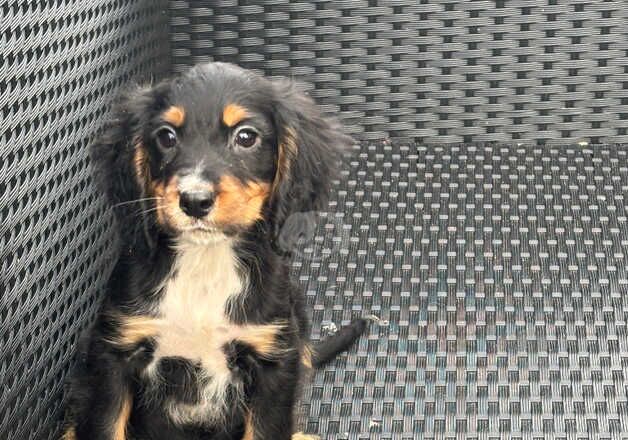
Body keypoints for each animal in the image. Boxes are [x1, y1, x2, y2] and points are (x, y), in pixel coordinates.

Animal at [60, 62, 368, 440]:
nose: (194, 201)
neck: (204, 263)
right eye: (166, 136)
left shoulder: (274, 364)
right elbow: (104, 426)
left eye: (246, 137)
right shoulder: (111, 357)